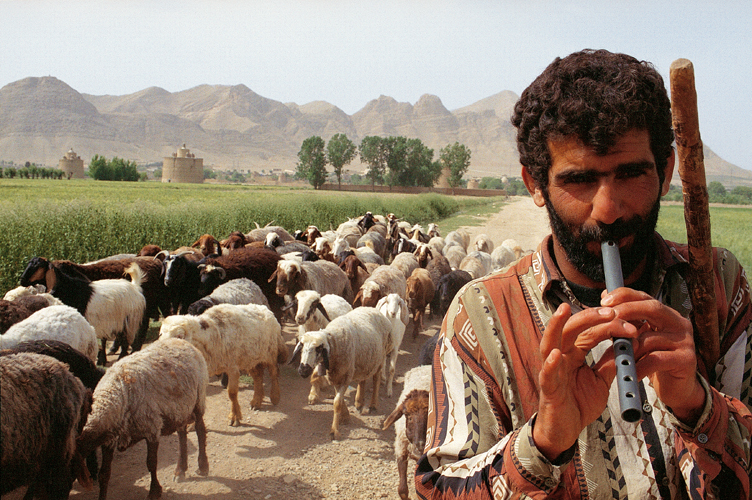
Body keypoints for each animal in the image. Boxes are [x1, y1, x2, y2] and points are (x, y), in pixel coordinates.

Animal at [76, 336, 209, 500]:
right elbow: (104, 474)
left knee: (200, 430)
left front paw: (154, 492)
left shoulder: (151, 428)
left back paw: (203, 466)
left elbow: (151, 463)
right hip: (180, 407)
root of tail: (182, 341)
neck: (116, 395)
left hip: (198, 398)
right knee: (182, 434)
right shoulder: (109, 440)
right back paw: (180, 471)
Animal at [159, 300, 288, 426]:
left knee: (274, 373)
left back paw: (275, 396)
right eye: (160, 334)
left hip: (271, 352)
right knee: (258, 376)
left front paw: (234, 417)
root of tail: (265, 308)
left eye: (179, 336)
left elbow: (232, 393)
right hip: (251, 357)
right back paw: (256, 401)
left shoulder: (233, 368)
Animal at [290, 306, 394, 440]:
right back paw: (359, 402)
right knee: (363, 379)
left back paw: (373, 405)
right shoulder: (335, 375)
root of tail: (373, 309)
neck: (335, 341)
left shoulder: (345, 376)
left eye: (319, 348)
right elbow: (338, 399)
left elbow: (337, 403)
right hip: (364, 359)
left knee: (376, 378)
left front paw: (335, 431)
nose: (303, 370)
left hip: (380, 358)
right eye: (302, 346)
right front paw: (345, 416)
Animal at [384, 364, 432, 500]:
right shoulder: (401, 446)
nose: (420, 445)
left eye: (430, 414)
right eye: (407, 415)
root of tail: (426, 365)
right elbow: (402, 490)